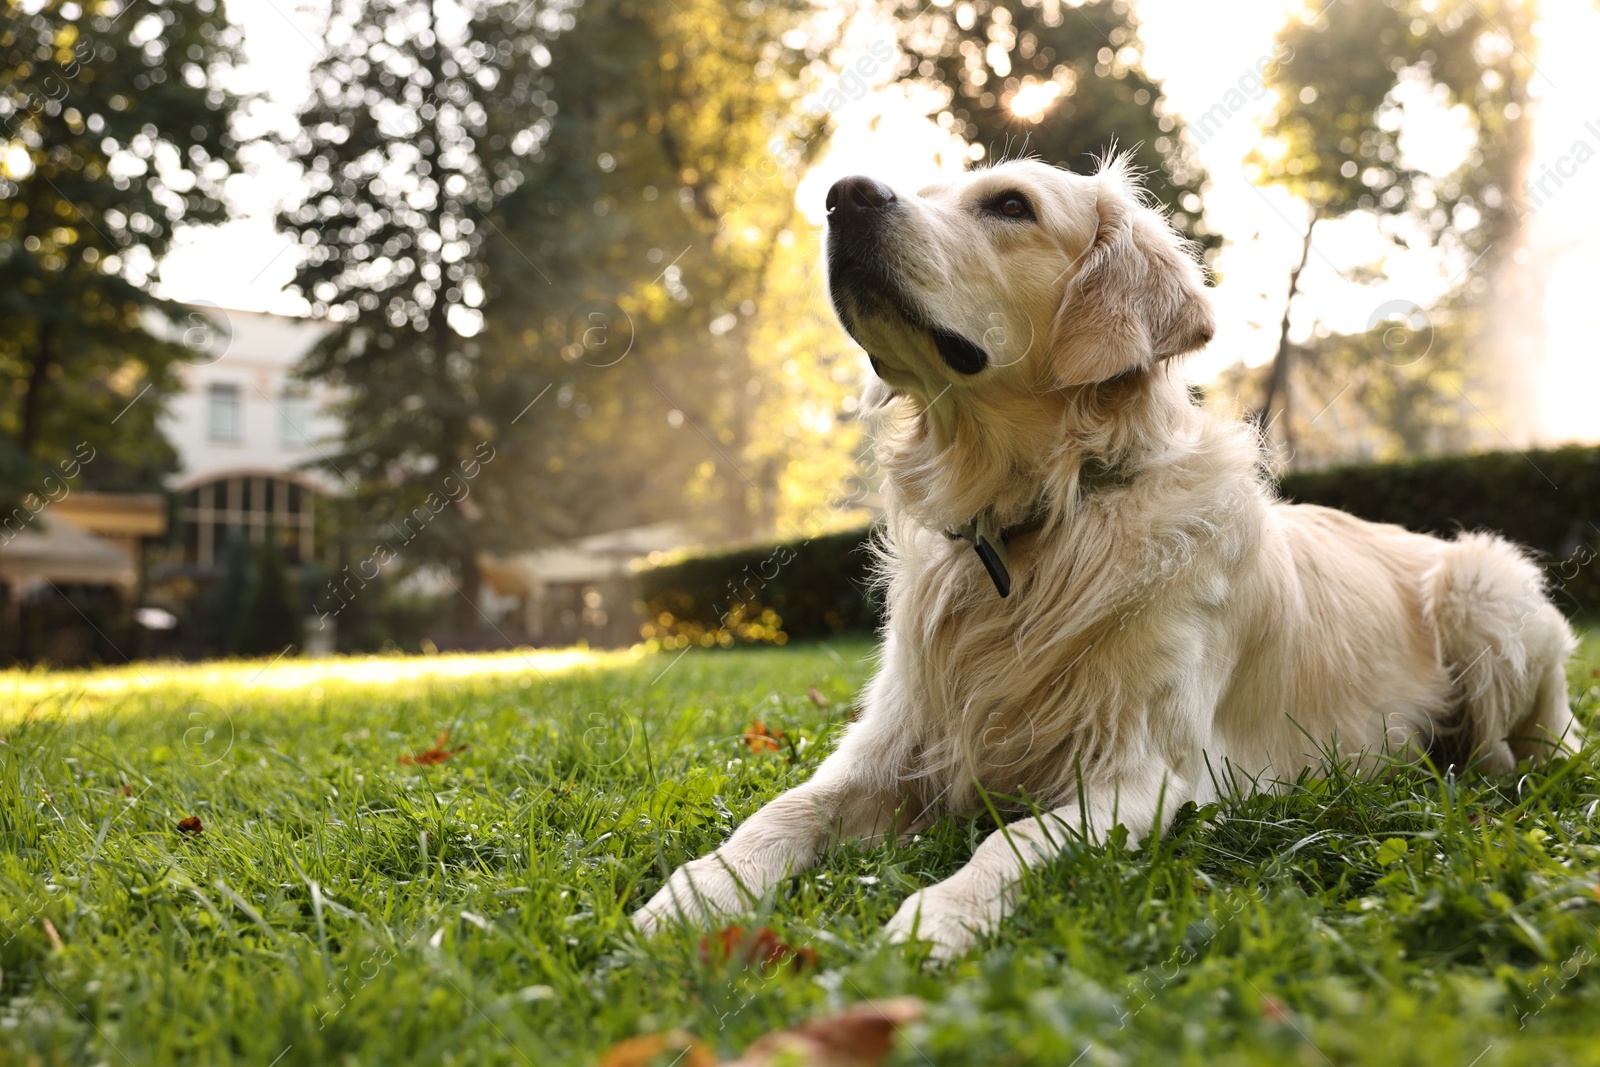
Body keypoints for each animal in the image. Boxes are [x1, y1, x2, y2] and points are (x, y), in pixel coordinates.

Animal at [627, 156, 1574, 959]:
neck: (1037, 519)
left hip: (1487, 583)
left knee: (1513, 751)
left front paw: (937, 916)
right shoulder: (895, 738)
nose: (840, 194)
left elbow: (1013, 840)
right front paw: (692, 895)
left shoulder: (1137, 772)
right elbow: (784, 809)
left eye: (1011, 205)